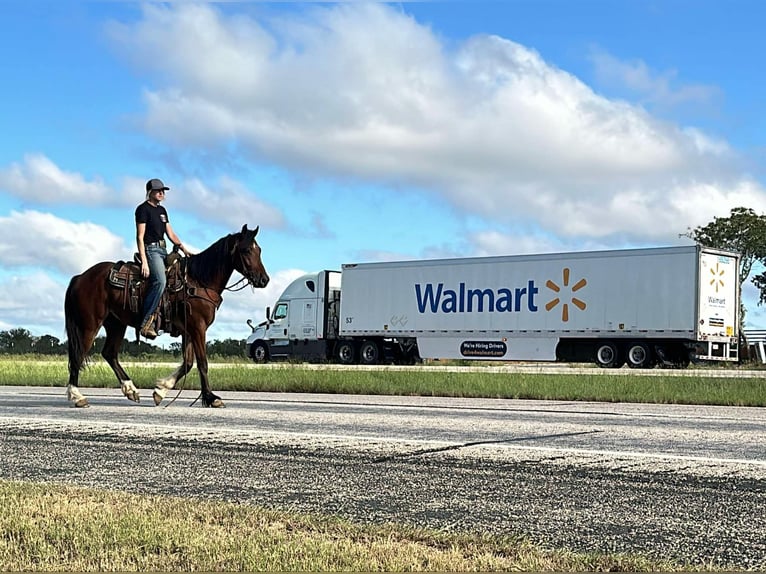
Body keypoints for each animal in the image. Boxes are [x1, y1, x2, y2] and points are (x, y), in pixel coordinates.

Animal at [64, 225, 272, 410]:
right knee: (78, 356)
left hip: (116, 324)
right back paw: (77, 396)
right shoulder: (198, 328)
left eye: (260, 250)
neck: (198, 281)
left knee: (109, 353)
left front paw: (161, 390)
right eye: (246, 250)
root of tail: (80, 277)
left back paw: (131, 390)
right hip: (90, 325)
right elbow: (202, 363)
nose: (264, 280)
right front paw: (211, 398)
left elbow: (187, 364)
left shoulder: (189, 331)